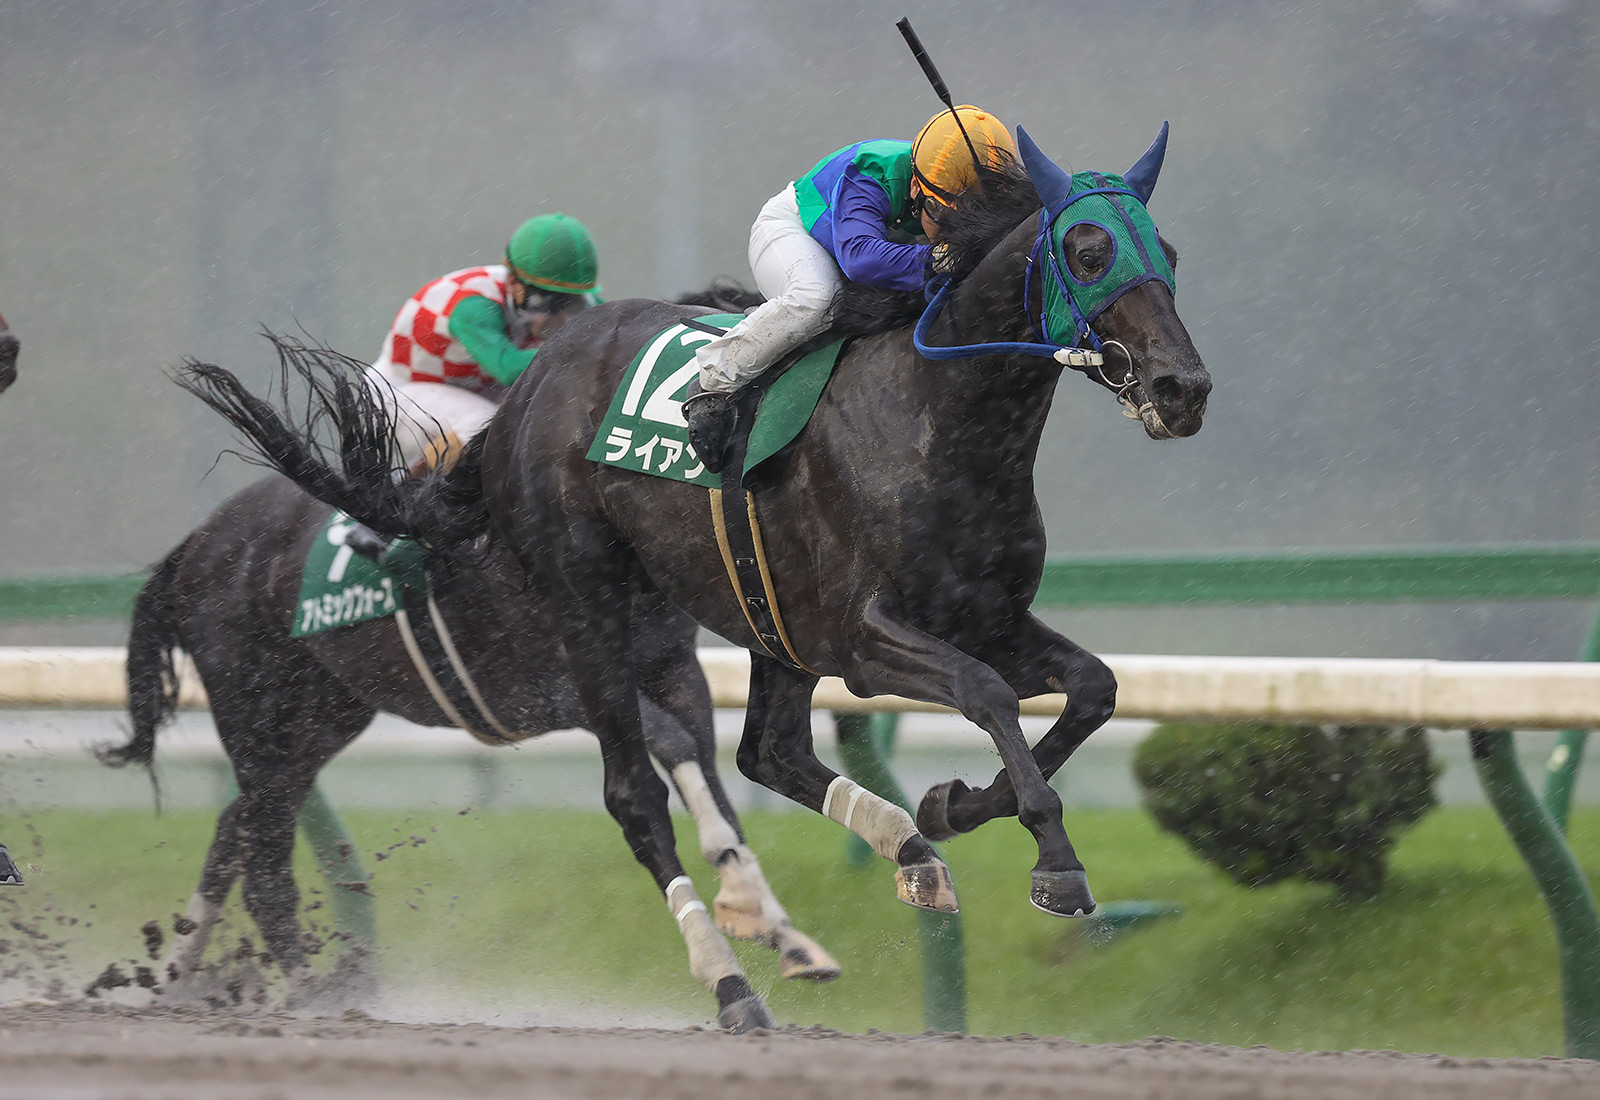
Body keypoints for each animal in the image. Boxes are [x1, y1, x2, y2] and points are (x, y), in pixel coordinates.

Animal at [187, 124, 1203, 991]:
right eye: (1088, 251)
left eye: (1170, 252)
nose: (1180, 388)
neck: (934, 420)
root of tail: (528, 395)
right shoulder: (866, 638)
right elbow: (989, 695)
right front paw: (1055, 864)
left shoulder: (983, 615)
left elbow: (1094, 689)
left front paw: (953, 804)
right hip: (582, 610)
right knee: (634, 791)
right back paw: (729, 981)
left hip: (762, 624)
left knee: (767, 751)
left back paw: (903, 854)